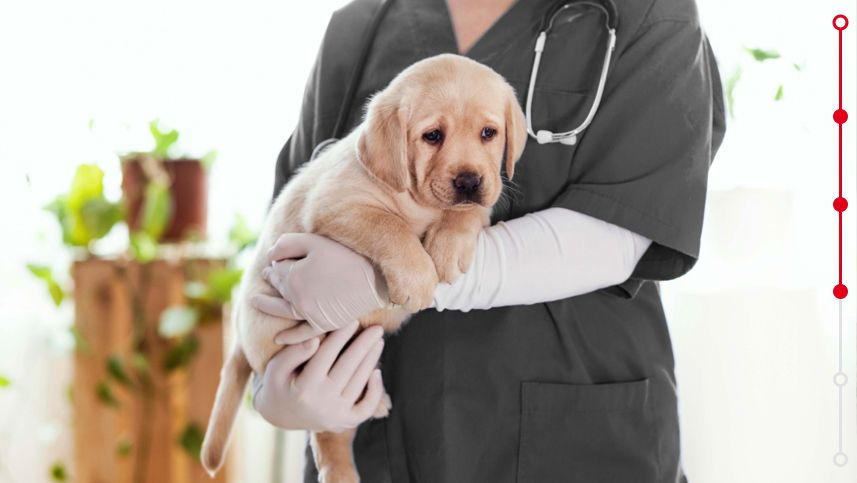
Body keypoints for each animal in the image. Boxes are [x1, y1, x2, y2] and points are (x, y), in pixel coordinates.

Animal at [201, 54, 528, 483]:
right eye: (432, 136)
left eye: (489, 133)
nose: (469, 181)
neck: (418, 201)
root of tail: (239, 333)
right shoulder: (337, 204)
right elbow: (390, 228)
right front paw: (417, 277)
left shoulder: (483, 201)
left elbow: (467, 213)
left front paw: (449, 245)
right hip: (307, 361)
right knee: (324, 426)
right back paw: (341, 467)